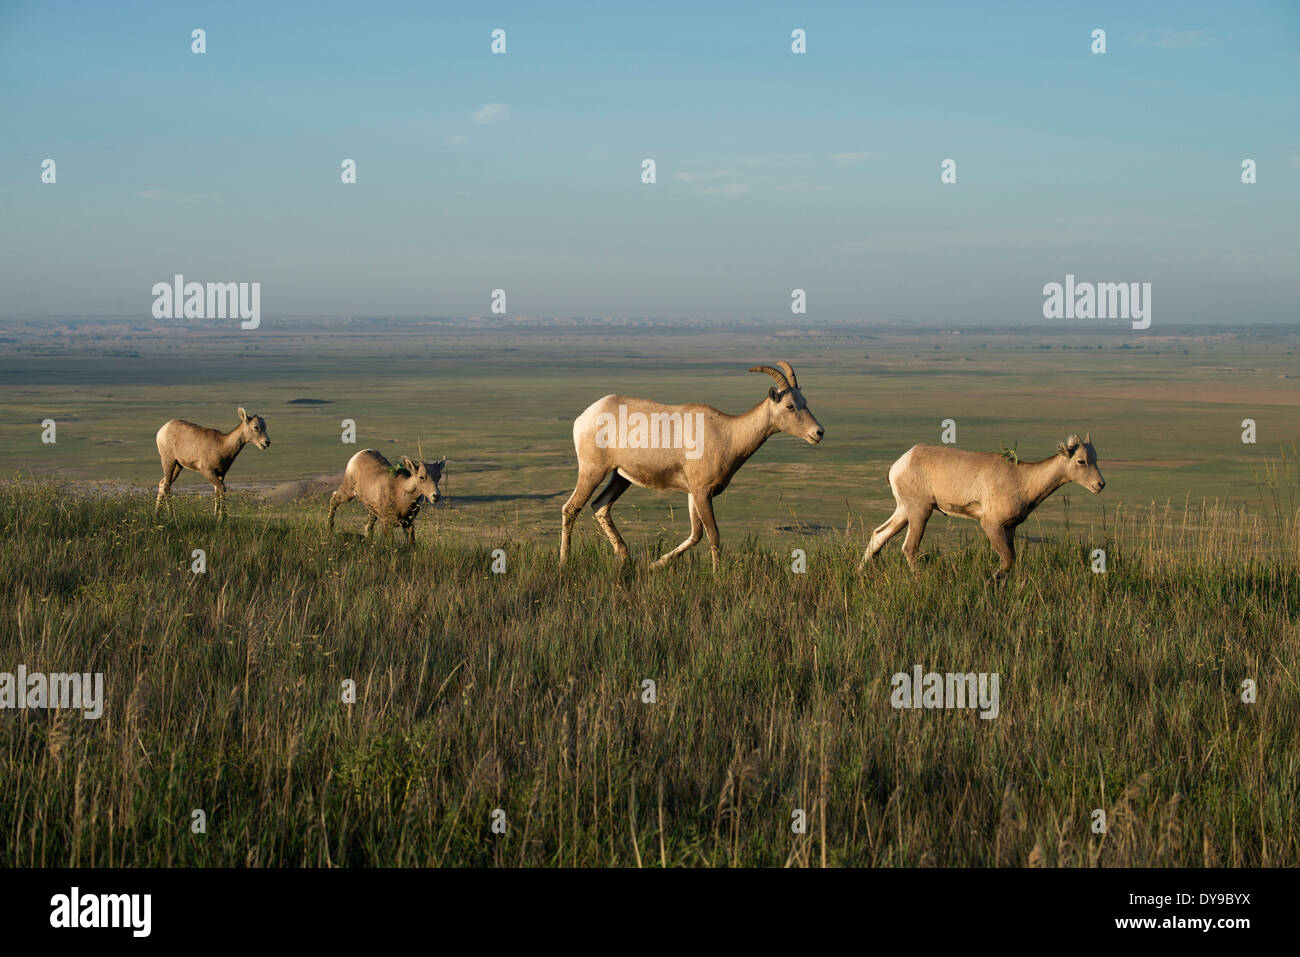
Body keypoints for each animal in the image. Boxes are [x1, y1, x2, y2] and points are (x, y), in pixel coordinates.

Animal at [560, 360, 824, 570]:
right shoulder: (702, 492)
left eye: (804, 401)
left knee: (600, 506)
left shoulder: (692, 494)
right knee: (571, 508)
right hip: (593, 471)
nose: (818, 433)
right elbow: (713, 535)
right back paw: (564, 562)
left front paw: (656, 564)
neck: (727, 432)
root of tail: (585, 417)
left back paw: (625, 557)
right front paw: (718, 575)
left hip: (620, 477)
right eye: (789, 405)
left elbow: (696, 535)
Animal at [861, 433, 1105, 579]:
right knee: (909, 547)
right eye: (1081, 461)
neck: (1023, 480)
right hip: (920, 512)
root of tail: (899, 464)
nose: (1100, 484)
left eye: (1095, 458)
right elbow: (1006, 560)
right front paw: (989, 580)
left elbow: (1011, 559)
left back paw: (861, 571)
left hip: (904, 512)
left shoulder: (1010, 528)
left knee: (879, 536)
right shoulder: (991, 525)